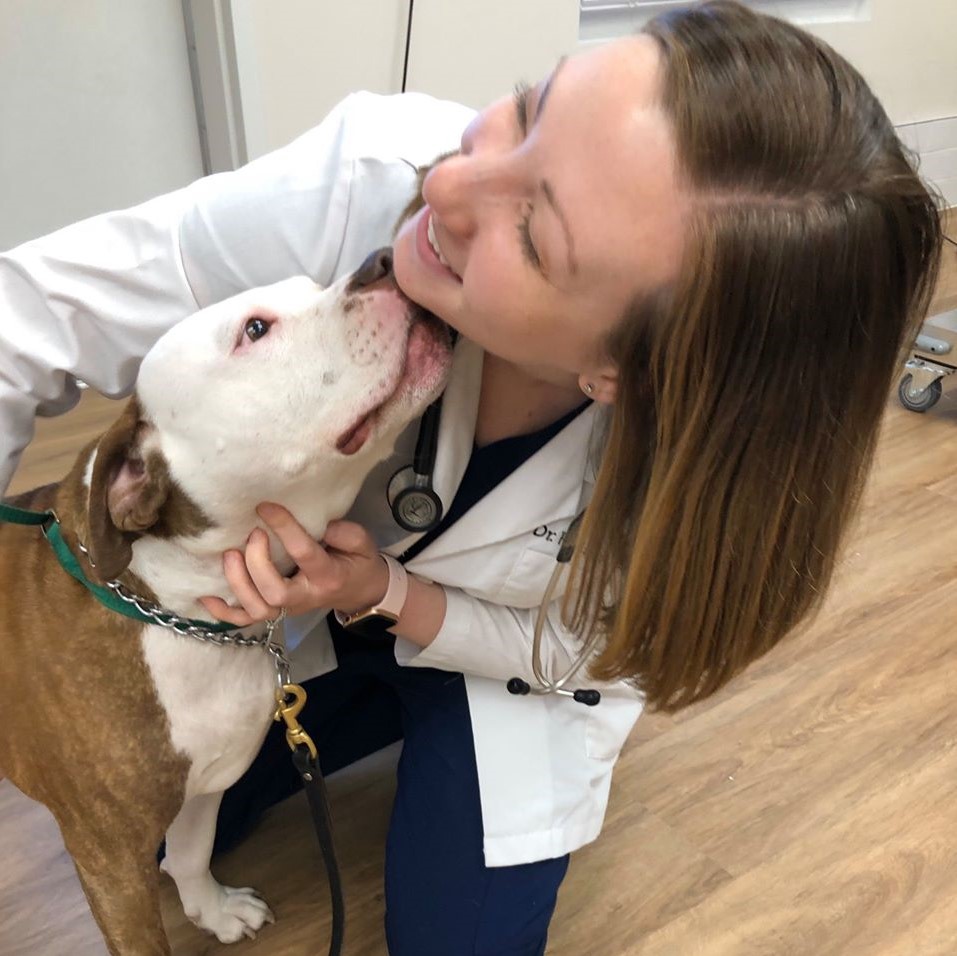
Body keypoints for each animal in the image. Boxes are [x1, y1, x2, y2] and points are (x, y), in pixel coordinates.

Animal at [0, 248, 452, 956]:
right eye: (256, 330)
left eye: (312, 285)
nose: (382, 259)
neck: (173, 607)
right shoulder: (110, 862)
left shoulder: (207, 780)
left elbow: (190, 851)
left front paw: (212, 913)